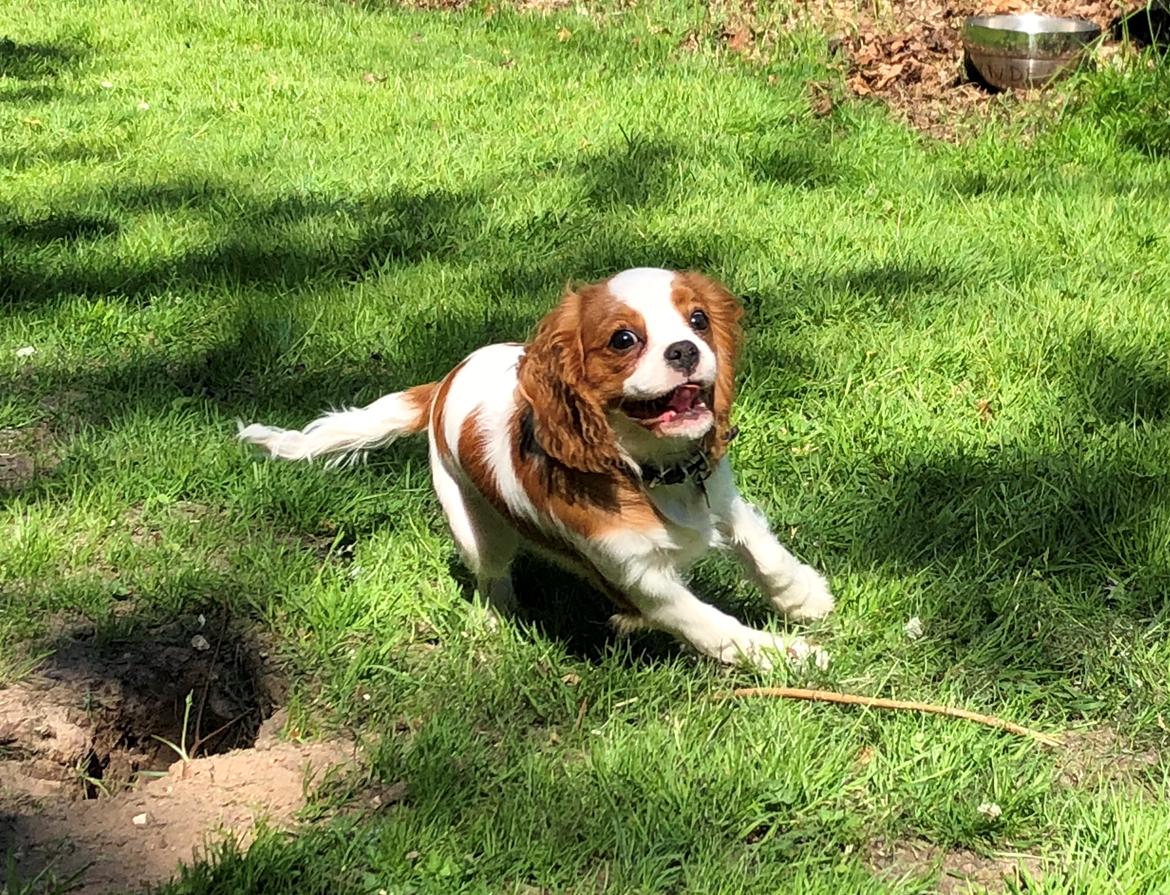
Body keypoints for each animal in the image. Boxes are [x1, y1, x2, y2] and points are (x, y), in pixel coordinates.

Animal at [239, 269, 833, 669]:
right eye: (624, 339)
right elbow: (713, 626)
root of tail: (444, 382)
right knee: (491, 573)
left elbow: (760, 547)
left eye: (699, 320)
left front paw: (803, 597)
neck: (649, 469)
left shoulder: (720, 495)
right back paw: (495, 619)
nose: (686, 350)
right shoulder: (638, 578)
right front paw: (789, 656)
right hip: (472, 525)